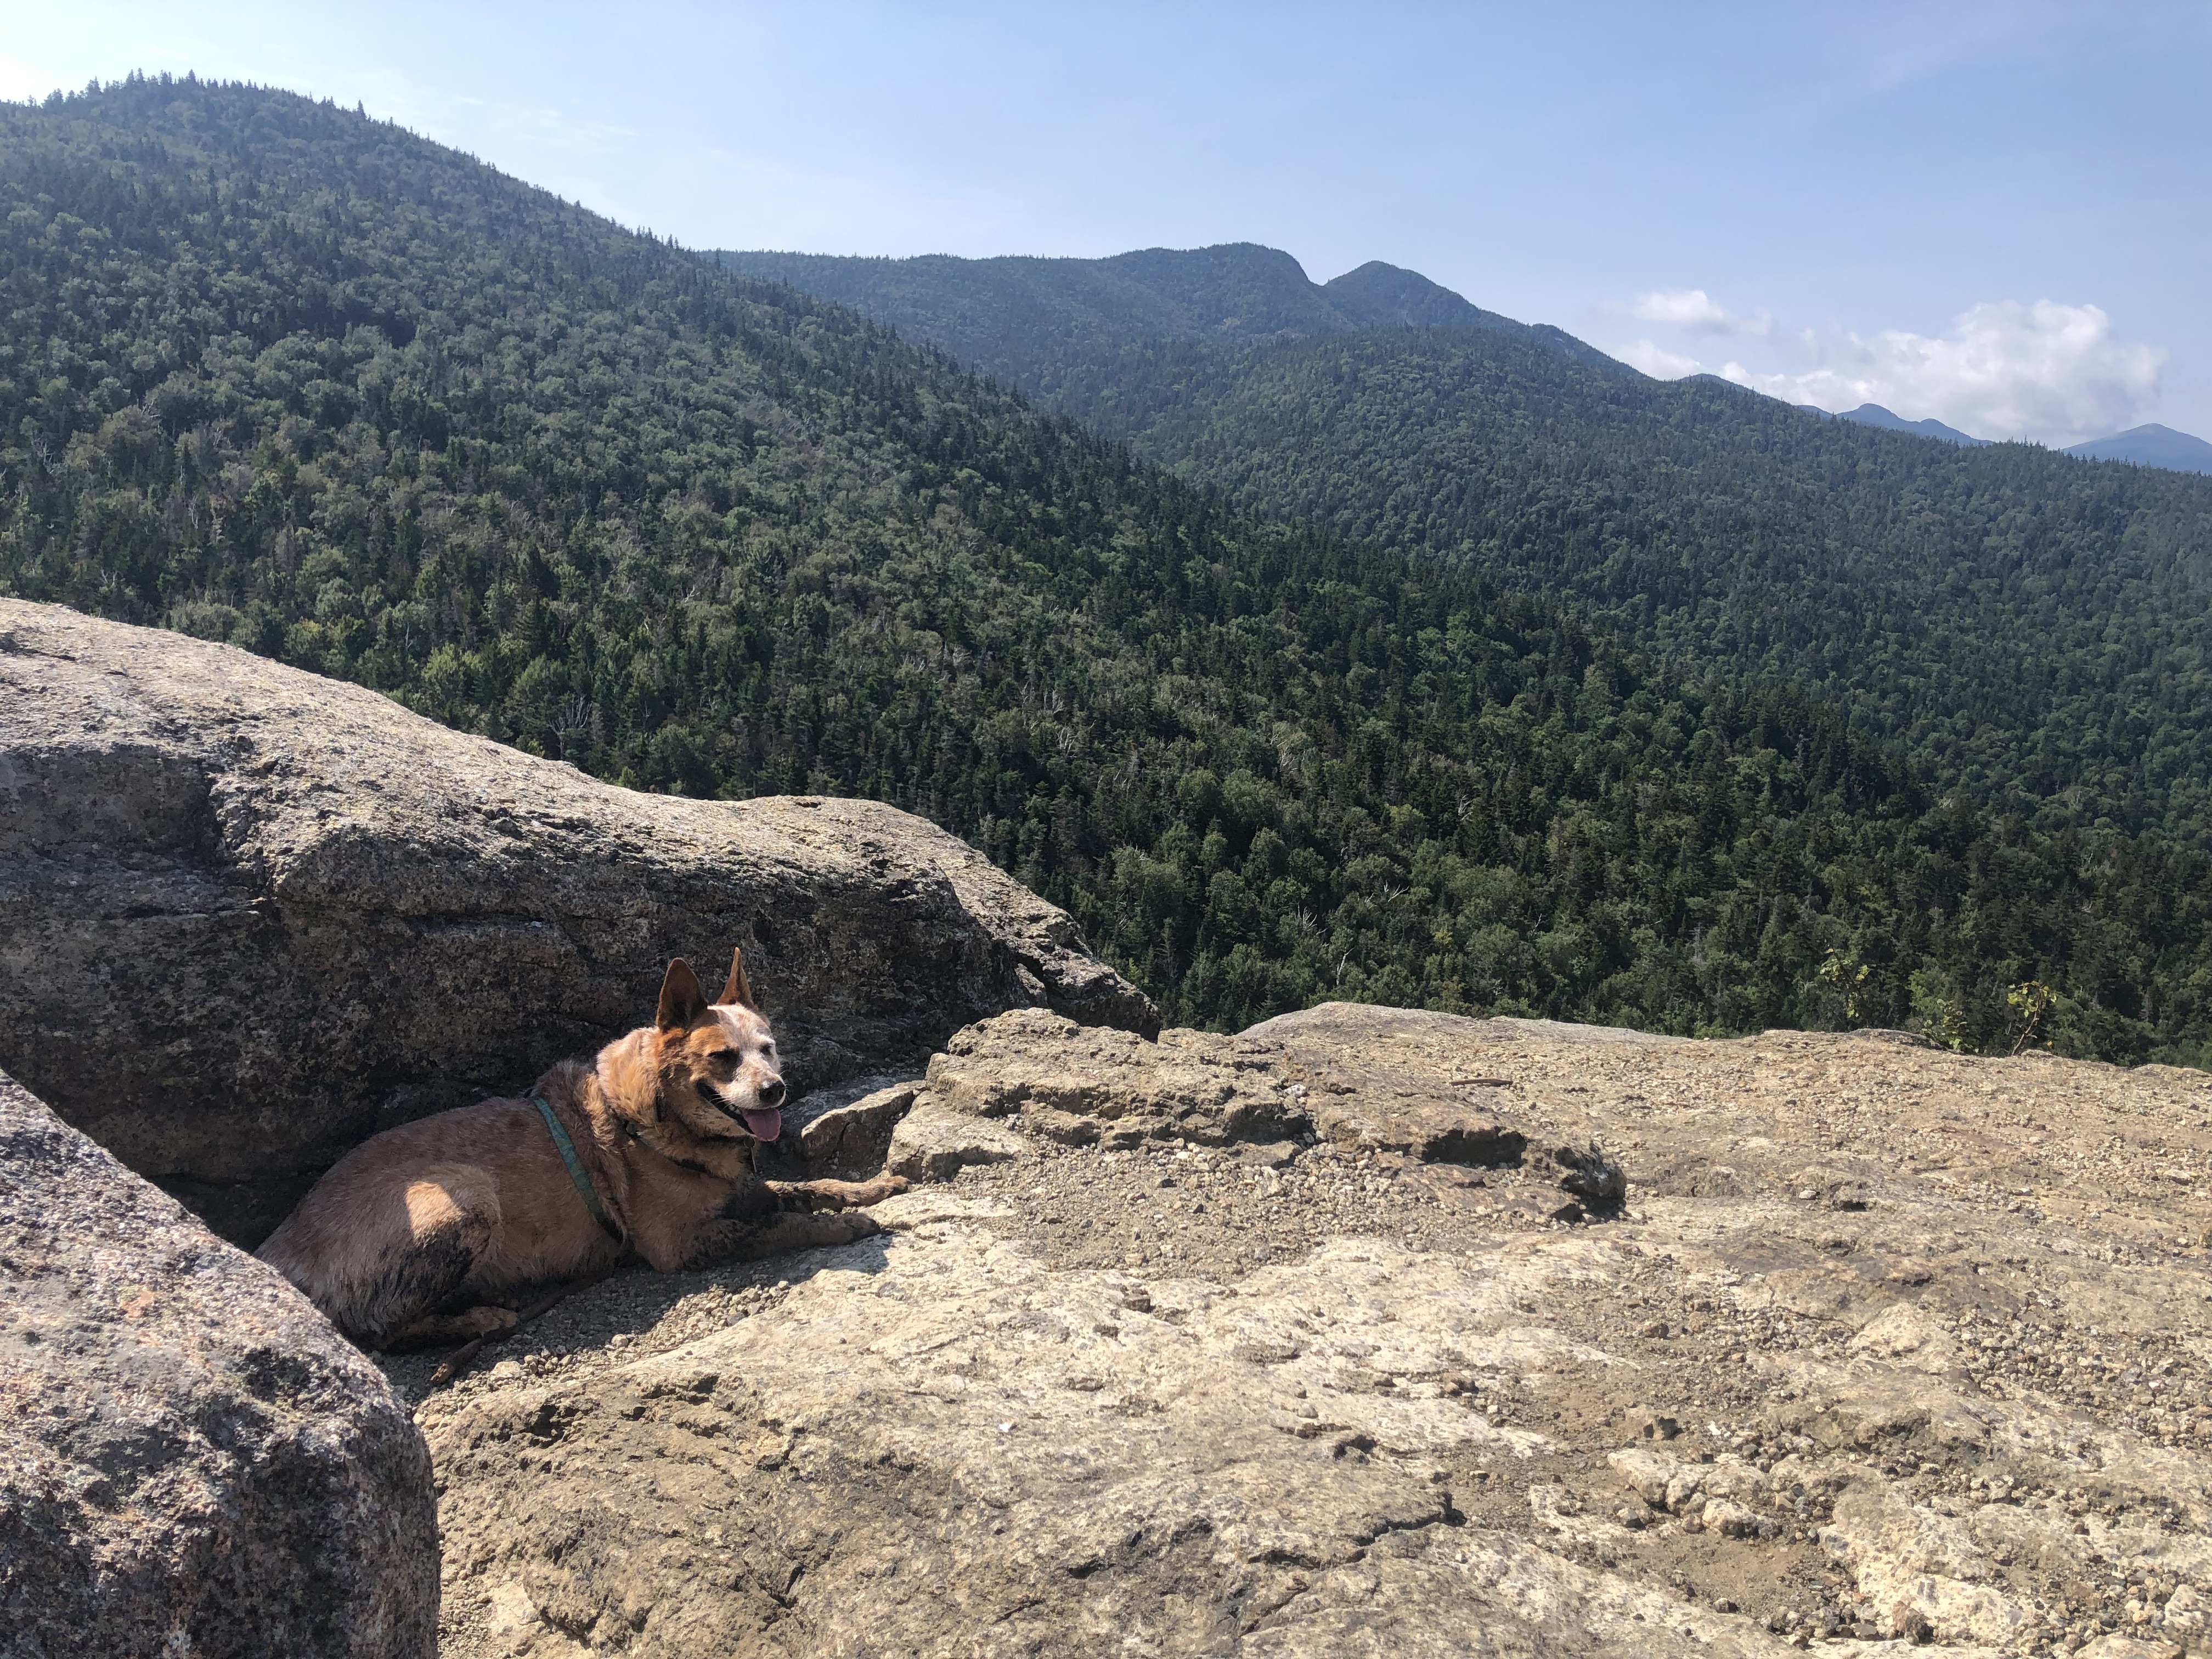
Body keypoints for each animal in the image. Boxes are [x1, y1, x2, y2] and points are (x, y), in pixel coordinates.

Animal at [261, 946, 907, 1353]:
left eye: (768, 1048)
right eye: (722, 1057)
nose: (775, 1089)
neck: (655, 1117)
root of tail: (278, 1250)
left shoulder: (740, 1188)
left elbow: (802, 1189)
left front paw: (868, 1187)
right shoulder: (678, 1246)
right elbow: (779, 1226)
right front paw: (844, 1225)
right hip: (466, 1194)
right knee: (378, 1333)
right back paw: (479, 1317)